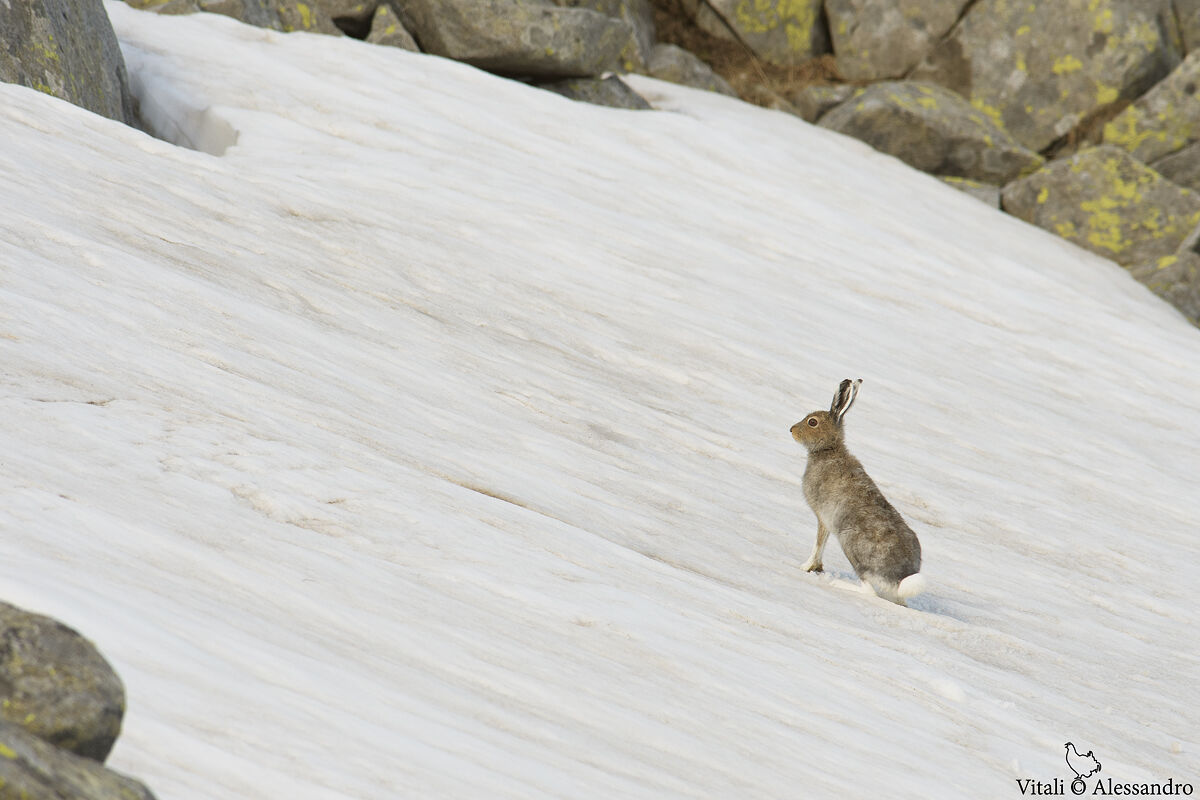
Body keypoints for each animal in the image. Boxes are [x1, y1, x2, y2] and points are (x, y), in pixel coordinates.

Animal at [790, 379, 926, 605]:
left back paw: (838, 584)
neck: (829, 450)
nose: (791, 429)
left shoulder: (823, 518)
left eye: (812, 422)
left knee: (869, 590)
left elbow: (818, 544)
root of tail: (900, 576)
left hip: (850, 545)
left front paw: (805, 567)